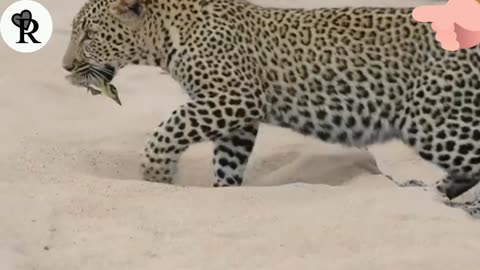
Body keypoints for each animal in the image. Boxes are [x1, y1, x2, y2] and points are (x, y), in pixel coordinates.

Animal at [62, 0, 480, 217]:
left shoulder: (233, 96)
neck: (164, 37)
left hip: (429, 119)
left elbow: (171, 125)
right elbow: (227, 162)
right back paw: (428, 193)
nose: (66, 67)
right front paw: (222, 192)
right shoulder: (237, 118)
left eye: (89, 35)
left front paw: (156, 173)